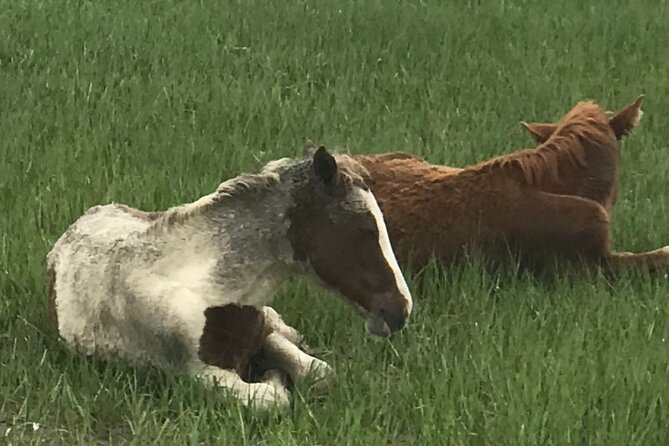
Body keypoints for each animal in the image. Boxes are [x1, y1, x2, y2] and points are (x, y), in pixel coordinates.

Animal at [47, 148, 410, 410]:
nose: (400, 310)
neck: (211, 289)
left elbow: (320, 372)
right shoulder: (200, 375)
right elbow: (272, 398)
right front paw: (273, 376)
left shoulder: (264, 330)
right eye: (364, 229)